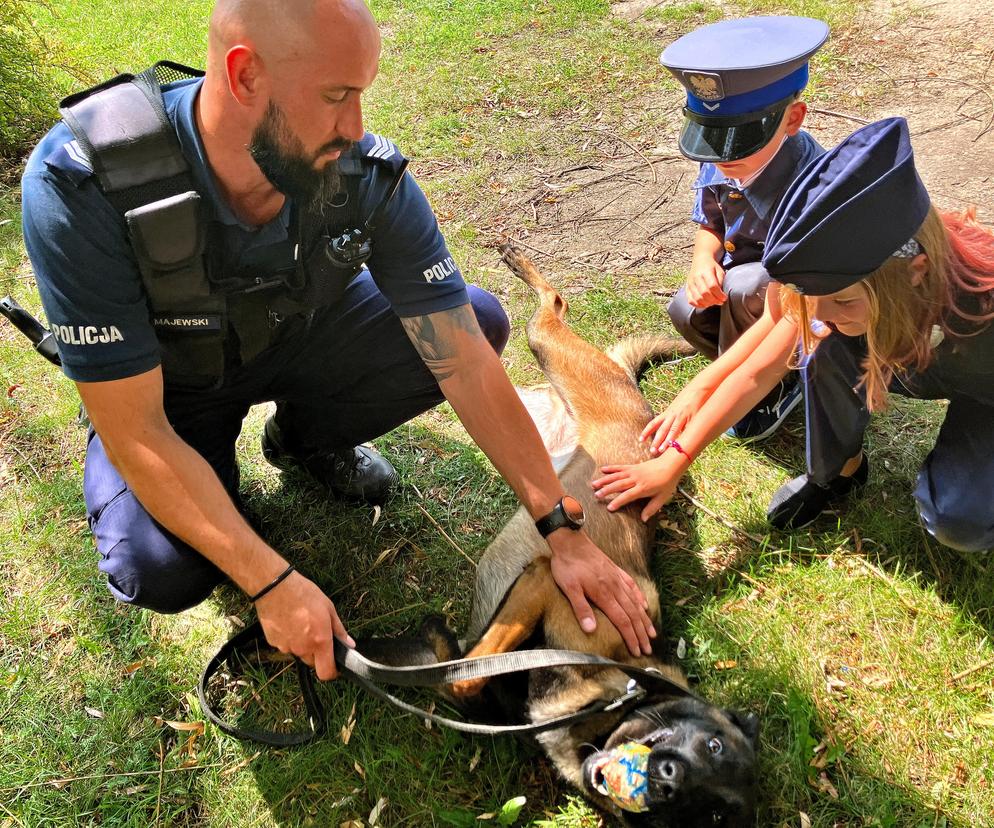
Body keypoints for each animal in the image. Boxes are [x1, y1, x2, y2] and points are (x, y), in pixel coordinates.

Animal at [366, 249, 760, 824]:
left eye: (712, 814)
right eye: (710, 743)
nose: (669, 781)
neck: (618, 687)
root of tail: (636, 398)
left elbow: (456, 675)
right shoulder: (550, 580)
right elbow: (467, 672)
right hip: (550, 347)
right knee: (552, 305)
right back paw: (518, 261)